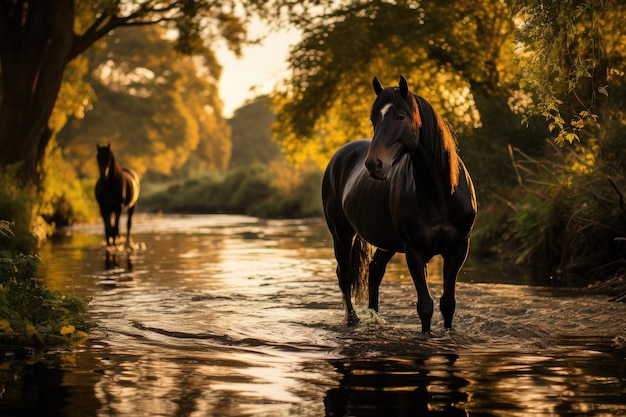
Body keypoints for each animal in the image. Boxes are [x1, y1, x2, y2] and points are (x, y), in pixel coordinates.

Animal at [320, 76, 476, 334]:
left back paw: (375, 315)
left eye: (400, 117)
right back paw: (353, 321)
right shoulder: (414, 251)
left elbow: (447, 304)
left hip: (386, 242)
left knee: (374, 271)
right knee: (345, 275)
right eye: (374, 118)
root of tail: (340, 156)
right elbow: (425, 306)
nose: (374, 164)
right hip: (341, 233)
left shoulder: (458, 249)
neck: (440, 194)